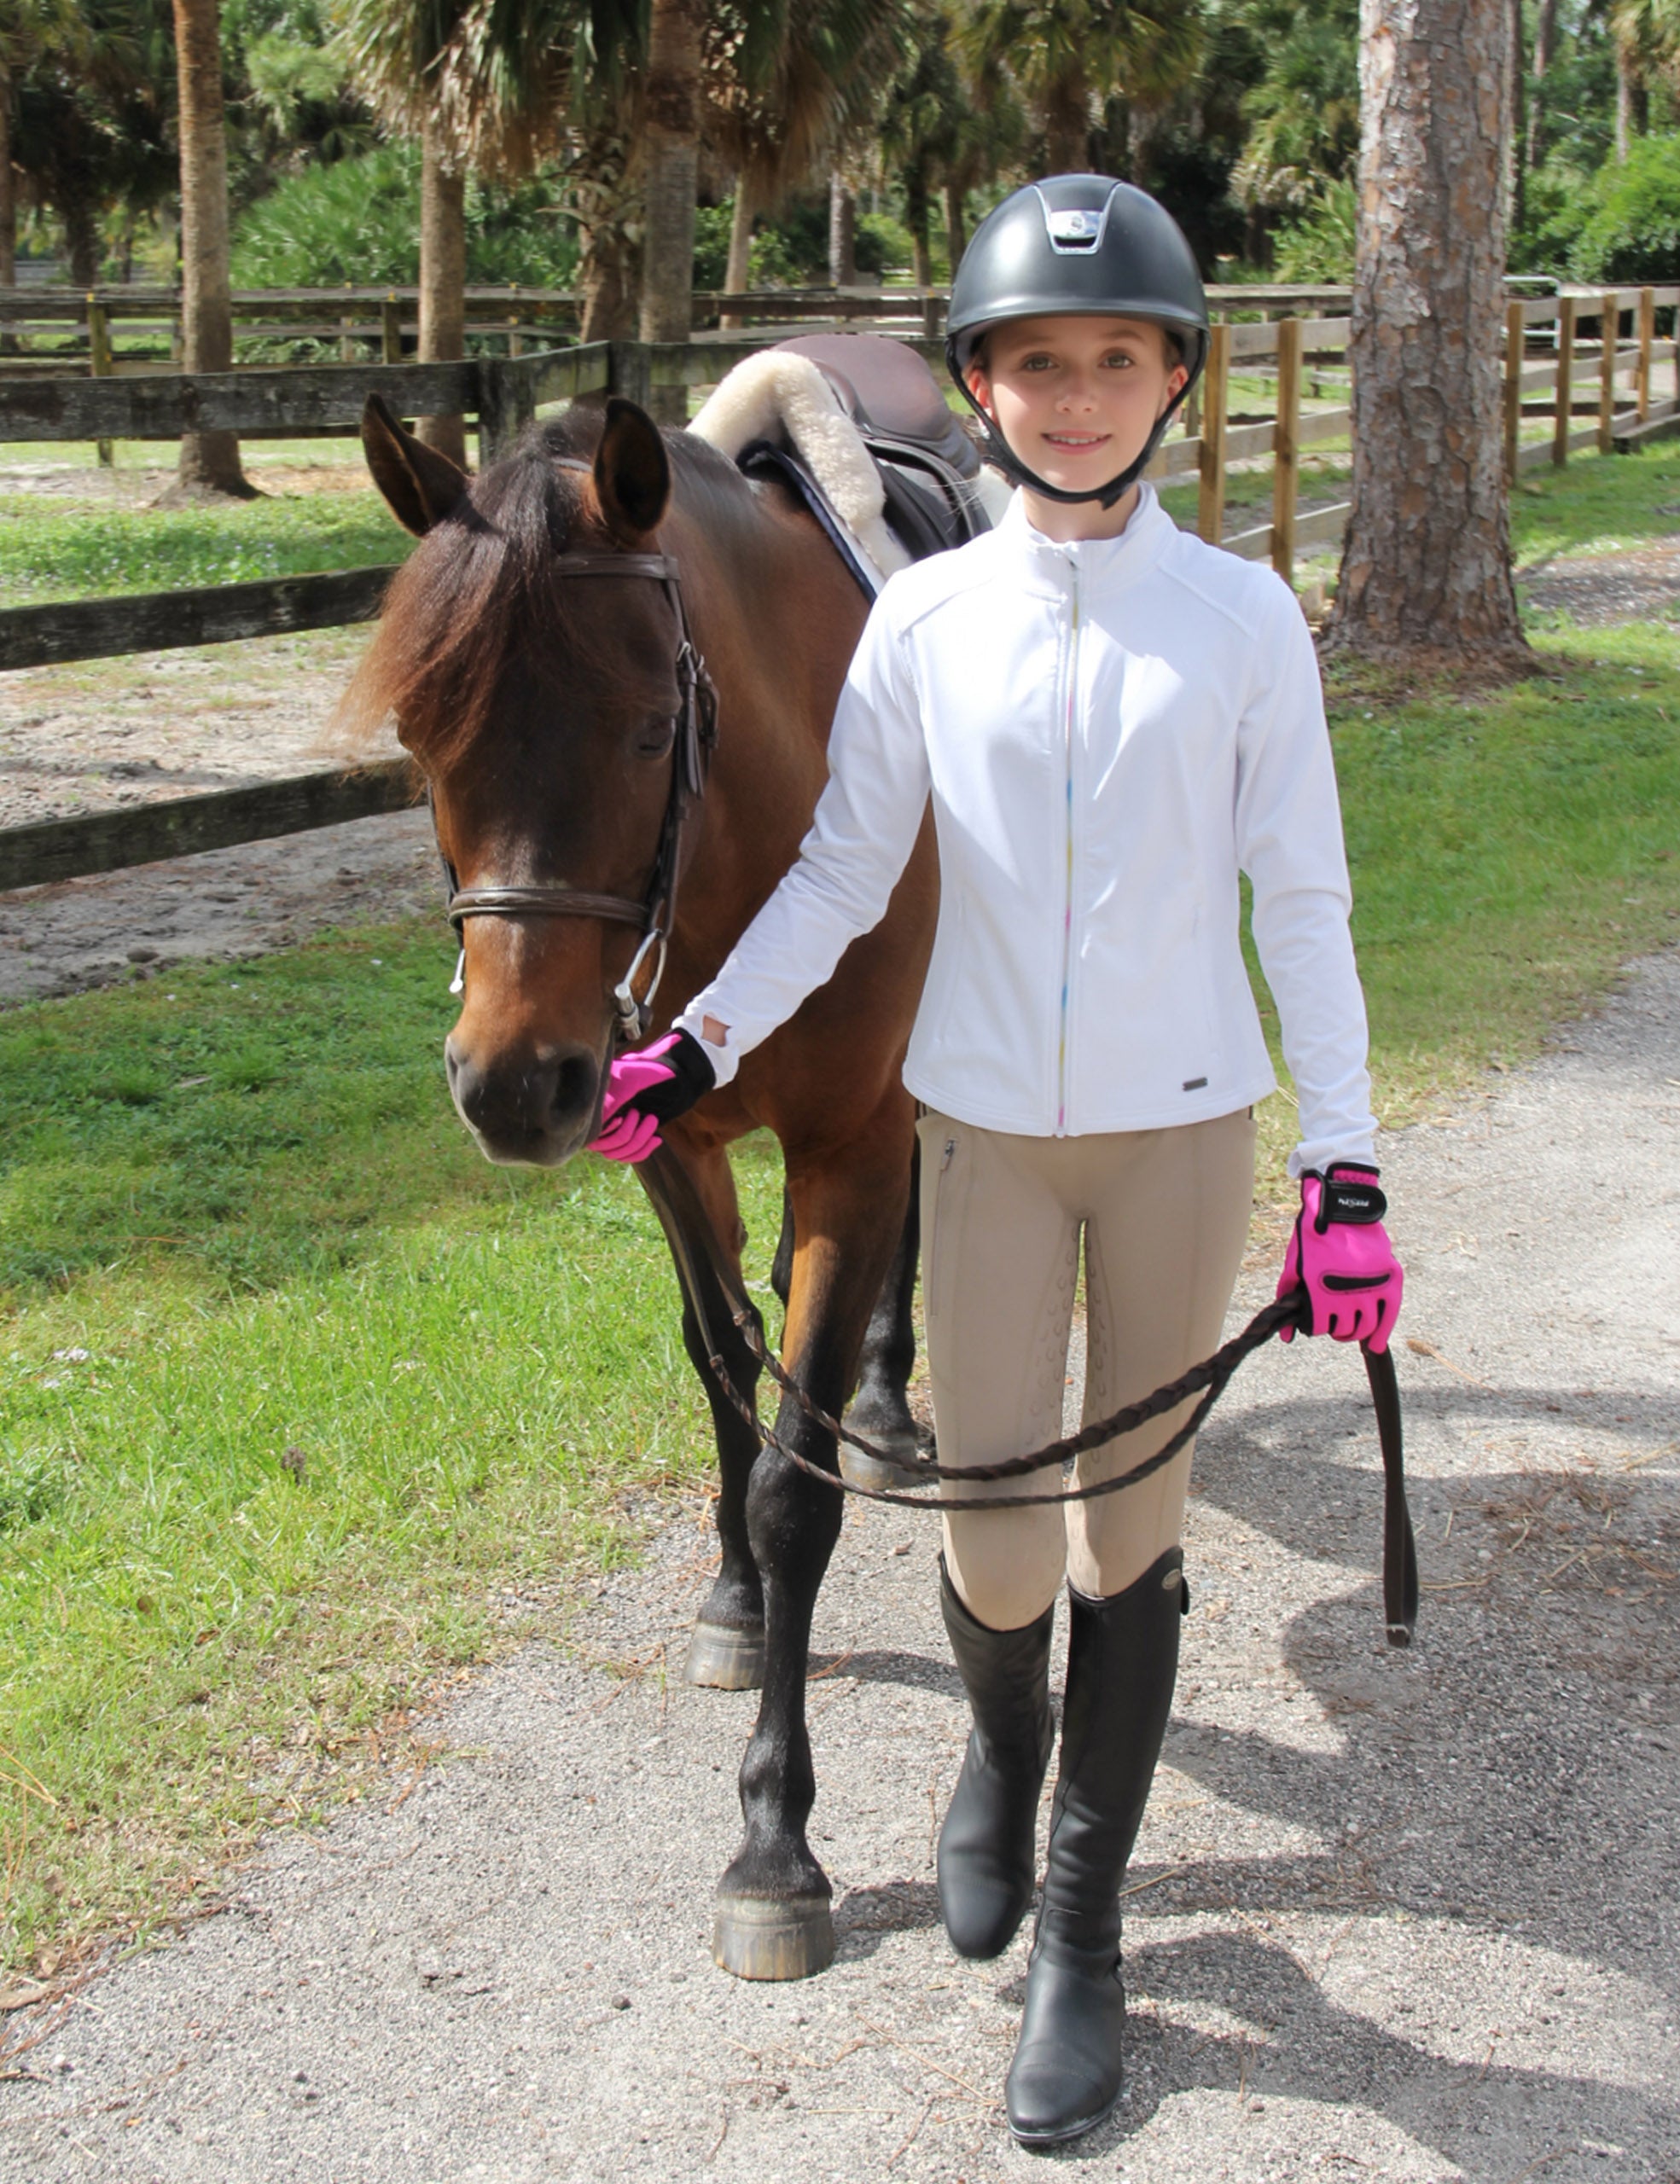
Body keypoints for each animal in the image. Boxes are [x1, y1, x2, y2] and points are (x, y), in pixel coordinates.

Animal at [343, 388, 939, 1981]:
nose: (509, 1082)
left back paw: (886, 1403)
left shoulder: (850, 1146)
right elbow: (722, 1376)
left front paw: (774, 1842)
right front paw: (732, 1598)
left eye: (653, 726)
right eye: (420, 735)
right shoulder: (669, 1147)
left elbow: (795, 1486)